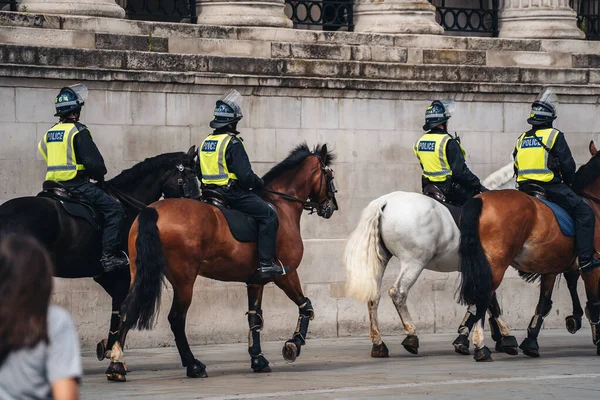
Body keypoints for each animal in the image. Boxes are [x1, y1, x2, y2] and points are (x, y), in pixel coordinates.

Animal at [0, 145, 199, 360]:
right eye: (187, 178)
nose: (197, 207)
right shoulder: (121, 275)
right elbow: (120, 311)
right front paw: (114, 351)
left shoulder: (106, 276)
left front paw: (108, 347)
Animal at [103, 143, 338, 382]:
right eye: (329, 174)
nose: (331, 207)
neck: (281, 206)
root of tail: (153, 211)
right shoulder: (286, 274)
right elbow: (306, 306)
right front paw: (293, 345)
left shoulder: (256, 281)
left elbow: (254, 319)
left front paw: (258, 359)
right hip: (184, 280)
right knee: (176, 319)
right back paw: (193, 365)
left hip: (138, 274)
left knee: (127, 309)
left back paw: (116, 364)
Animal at [460, 141, 600, 362]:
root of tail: (480, 199)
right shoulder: (593, 266)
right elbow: (594, 303)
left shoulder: (552, 268)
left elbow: (544, 303)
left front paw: (531, 342)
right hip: (495, 264)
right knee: (484, 295)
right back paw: (482, 345)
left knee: (481, 297)